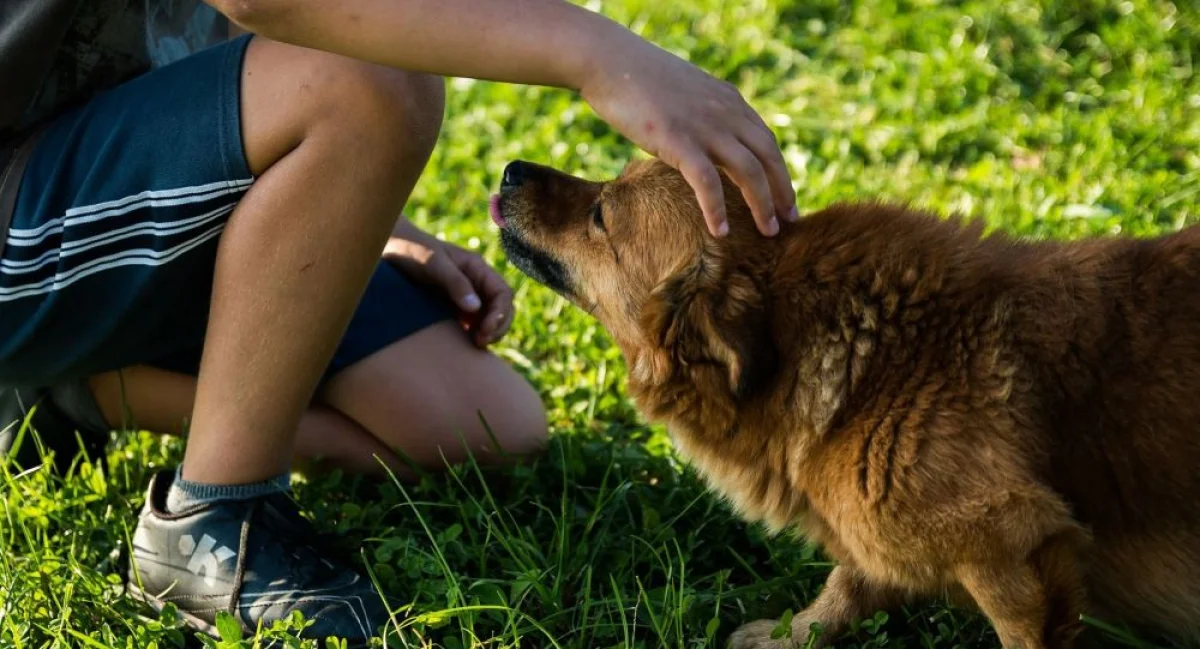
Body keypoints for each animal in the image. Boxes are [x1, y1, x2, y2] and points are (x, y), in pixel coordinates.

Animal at [487, 158, 1200, 647]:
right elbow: (848, 583)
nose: (512, 169)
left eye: (601, 214)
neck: (874, 360)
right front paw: (792, 635)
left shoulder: (1012, 549)